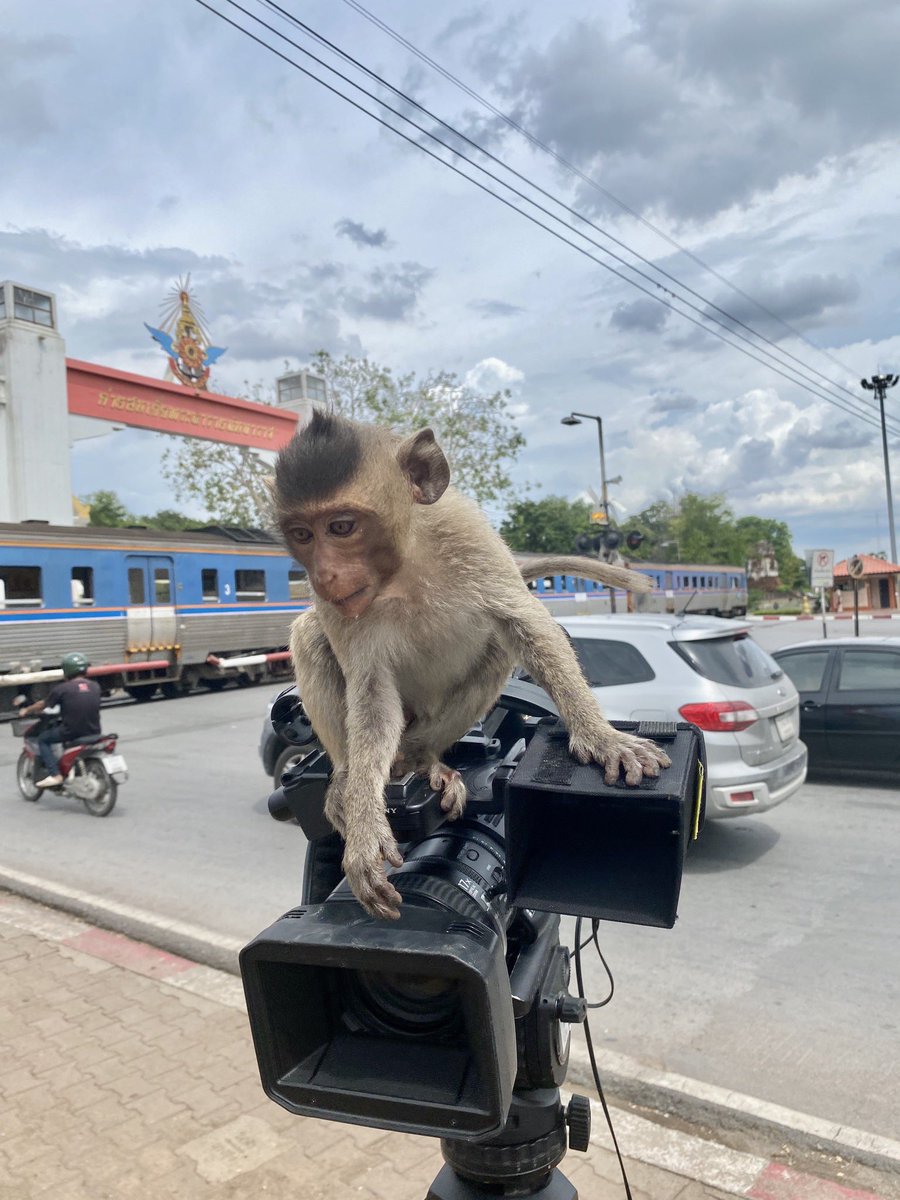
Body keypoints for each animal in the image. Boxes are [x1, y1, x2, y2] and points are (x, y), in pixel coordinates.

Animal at [272, 410, 671, 921]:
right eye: (302, 534)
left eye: (341, 527)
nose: (323, 575)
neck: (402, 570)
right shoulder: (339, 608)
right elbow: (372, 695)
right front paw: (363, 827)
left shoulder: (468, 535)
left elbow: (527, 626)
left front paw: (602, 739)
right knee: (310, 635)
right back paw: (345, 781)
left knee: (497, 648)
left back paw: (425, 761)